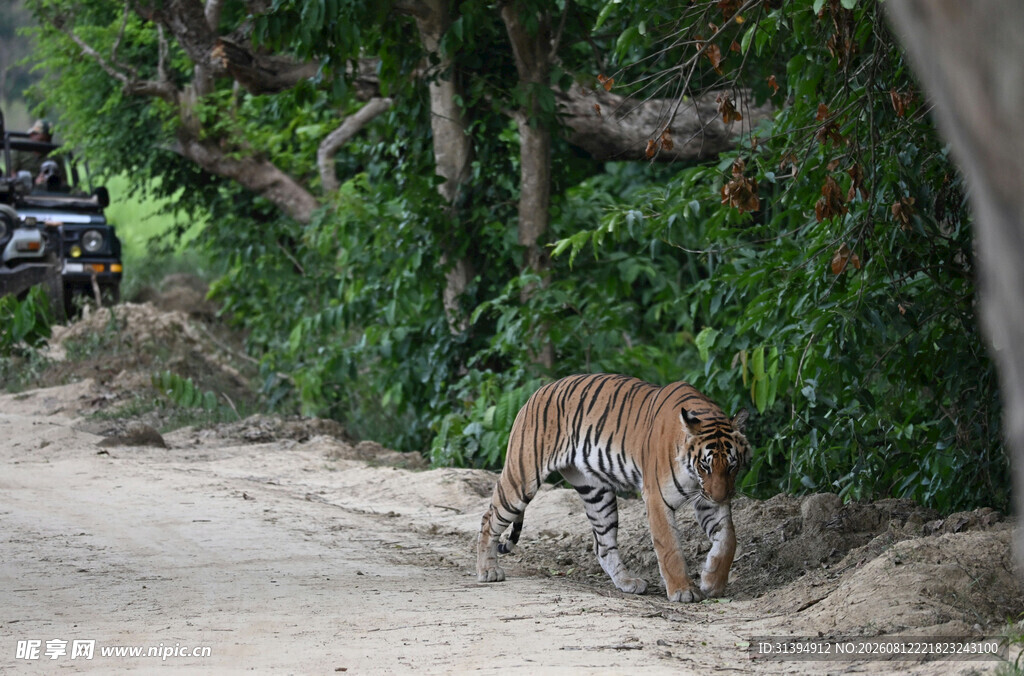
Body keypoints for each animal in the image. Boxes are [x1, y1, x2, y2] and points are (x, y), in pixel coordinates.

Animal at [476, 373, 751, 602]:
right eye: (705, 466)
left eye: (731, 466)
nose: (720, 497)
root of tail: (538, 392)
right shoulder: (657, 498)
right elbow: (669, 548)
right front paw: (683, 591)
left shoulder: (707, 499)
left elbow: (728, 539)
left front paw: (712, 582)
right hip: (522, 478)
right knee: (489, 518)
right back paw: (488, 570)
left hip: (596, 493)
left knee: (603, 545)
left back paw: (627, 582)